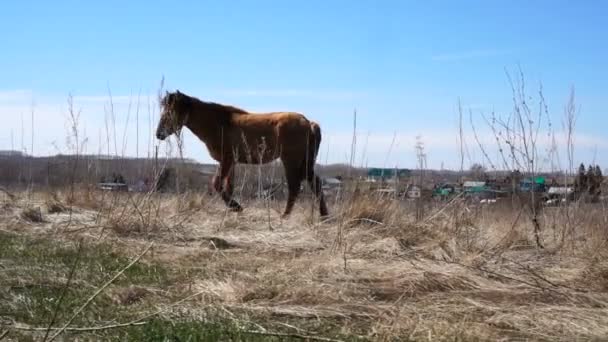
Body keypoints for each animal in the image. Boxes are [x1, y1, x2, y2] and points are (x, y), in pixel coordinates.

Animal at [154, 89, 330, 218]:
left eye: (169, 112)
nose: (159, 134)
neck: (218, 123)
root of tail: (308, 122)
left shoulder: (226, 160)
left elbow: (216, 183)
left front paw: (236, 206)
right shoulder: (231, 163)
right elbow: (228, 186)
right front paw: (233, 208)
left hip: (291, 161)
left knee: (294, 187)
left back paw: (285, 216)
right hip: (305, 163)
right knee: (315, 184)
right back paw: (323, 216)